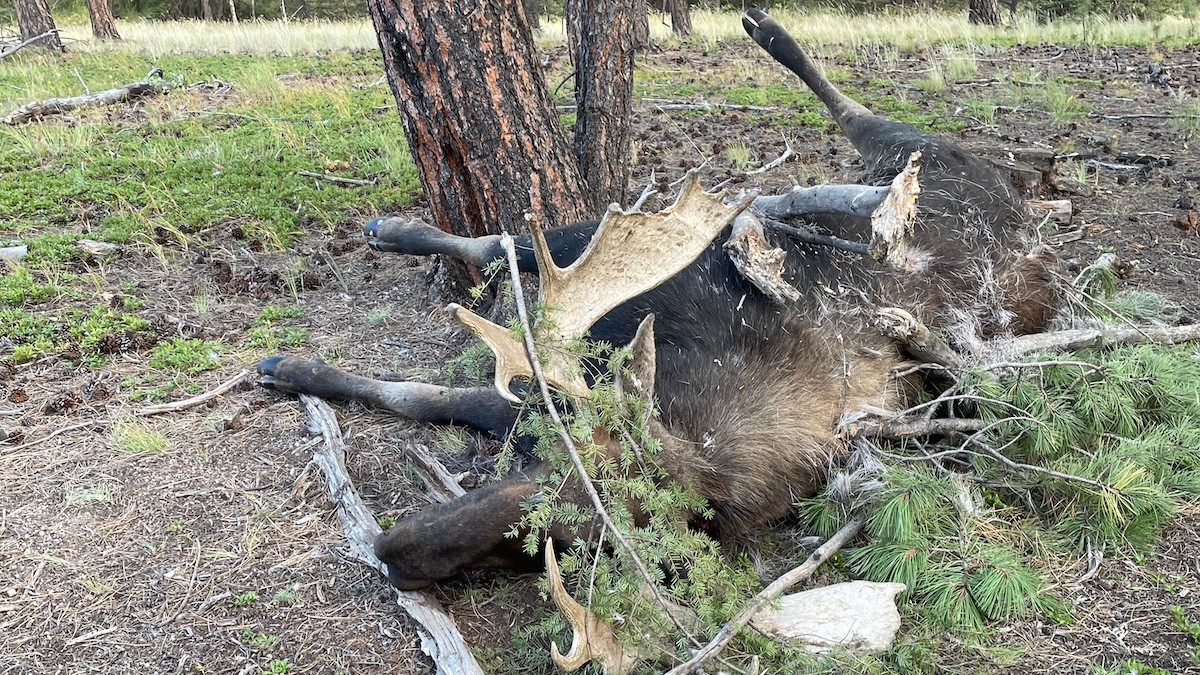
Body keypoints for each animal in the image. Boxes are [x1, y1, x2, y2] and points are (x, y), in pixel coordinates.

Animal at [257, 8, 1058, 669]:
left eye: (565, 545)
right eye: (538, 468)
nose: (391, 551)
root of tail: (1028, 217)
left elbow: (436, 396)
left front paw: (299, 369)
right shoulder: (564, 382)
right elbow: (431, 385)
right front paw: (293, 365)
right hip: (897, 171)